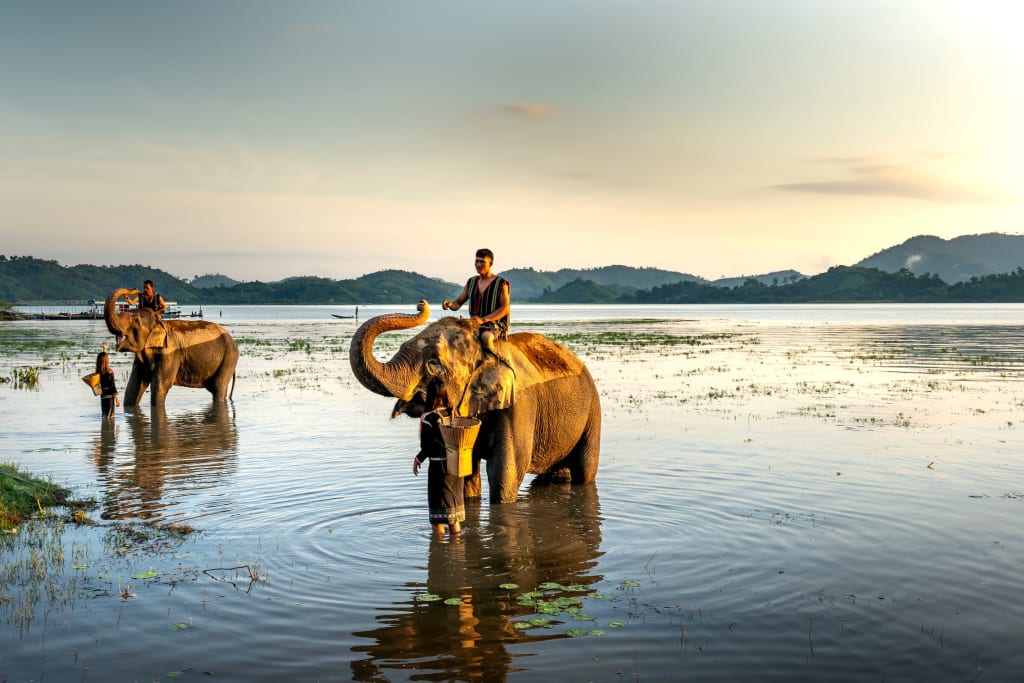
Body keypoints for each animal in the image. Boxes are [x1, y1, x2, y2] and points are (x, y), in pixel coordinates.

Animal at [104, 288, 238, 405]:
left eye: (135, 320)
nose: (134, 290)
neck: (158, 323)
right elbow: (134, 385)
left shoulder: (170, 353)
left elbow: (160, 384)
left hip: (229, 357)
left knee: (218, 387)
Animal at [350, 303, 598, 501]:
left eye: (433, 363)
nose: (421, 304)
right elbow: (466, 472)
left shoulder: (518, 406)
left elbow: (504, 475)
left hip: (592, 412)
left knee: (585, 470)